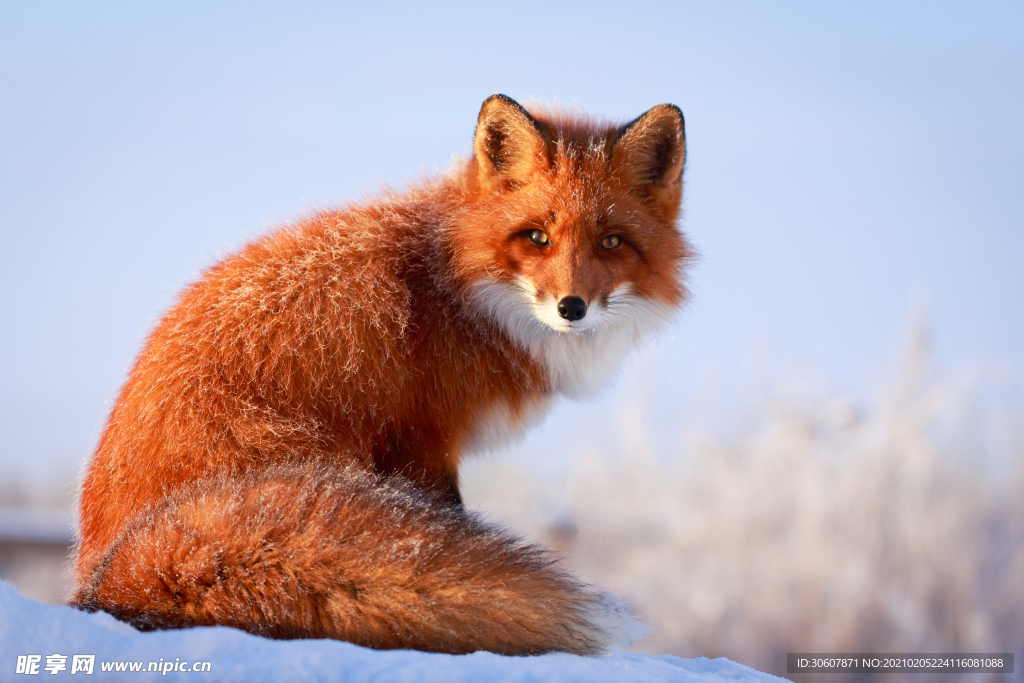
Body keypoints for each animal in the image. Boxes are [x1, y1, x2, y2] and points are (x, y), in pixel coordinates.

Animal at [72, 93, 692, 655]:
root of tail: (104, 578)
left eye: (611, 242)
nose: (572, 308)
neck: (455, 289)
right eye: (537, 236)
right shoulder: (423, 439)